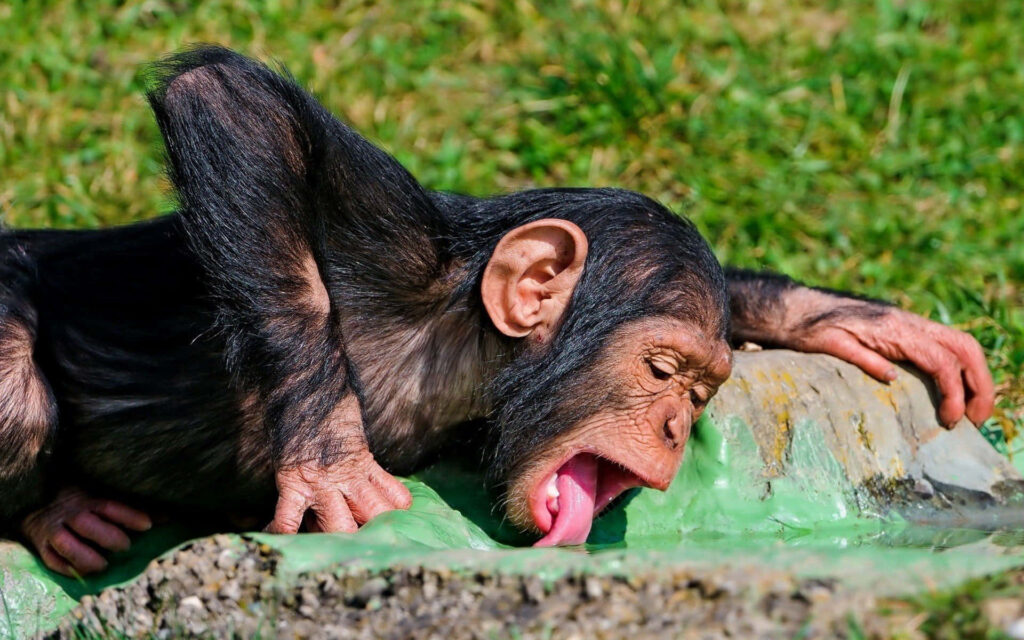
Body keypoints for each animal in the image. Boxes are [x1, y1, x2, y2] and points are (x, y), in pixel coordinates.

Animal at [0, 47, 993, 576]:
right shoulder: (392, 242)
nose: (676, 426)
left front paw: (847, 317)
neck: (460, 352)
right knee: (16, 387)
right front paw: (331, 460)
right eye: (663, 370)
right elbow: (229, 105)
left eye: (703, 393)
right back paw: (56, 515)